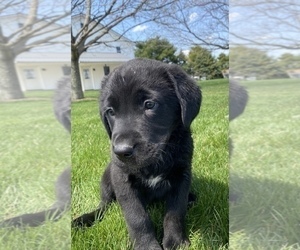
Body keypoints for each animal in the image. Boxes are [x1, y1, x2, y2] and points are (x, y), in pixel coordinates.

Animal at [72, 59, 202, 250]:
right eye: (111, 111)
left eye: (149, 104)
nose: (121, 151)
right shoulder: (122, 178)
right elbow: (137, 218)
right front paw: (147, 246)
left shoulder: (182, 174)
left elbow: (175, 212)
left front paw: (176, 242)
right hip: (107, 179)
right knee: (104, 205)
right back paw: (84, 219)